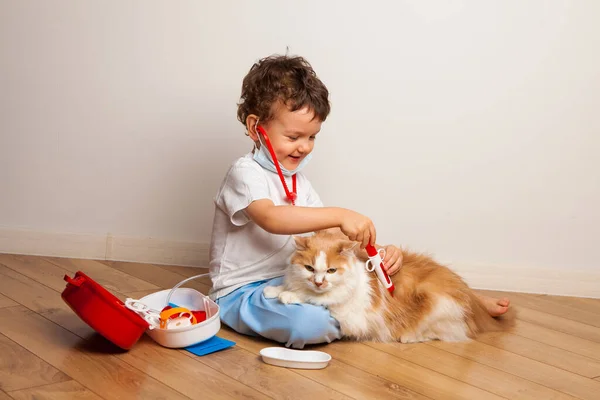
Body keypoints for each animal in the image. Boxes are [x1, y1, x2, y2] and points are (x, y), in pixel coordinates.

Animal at [264, 230, 512, 342]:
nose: (319, 281)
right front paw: (273, 290)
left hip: (436, 305)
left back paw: (408, 337)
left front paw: (289, 296)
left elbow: (315, 298)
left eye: (331, 271)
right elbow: (291, 286)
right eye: (309, 268)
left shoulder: (346, 311)